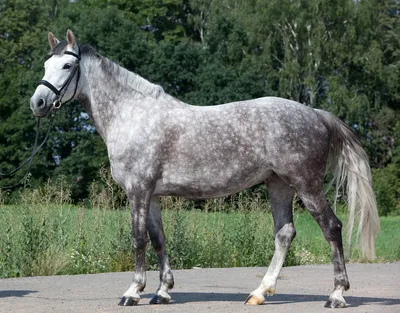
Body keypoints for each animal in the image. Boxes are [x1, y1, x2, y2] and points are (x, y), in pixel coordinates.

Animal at [29, 29, 380, 308]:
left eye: (67, 66)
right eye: (46, 65)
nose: (38, 103)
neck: (132, 115)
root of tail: (316, 113)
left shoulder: (138, 190)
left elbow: (138, 239)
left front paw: (133, 292)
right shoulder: (153, 196)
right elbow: (159, 239)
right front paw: (162, 291)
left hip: (306, 184)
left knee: (331, 228)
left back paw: (336, 295)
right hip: (278, 185)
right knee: (284, 234)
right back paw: (259, 293)